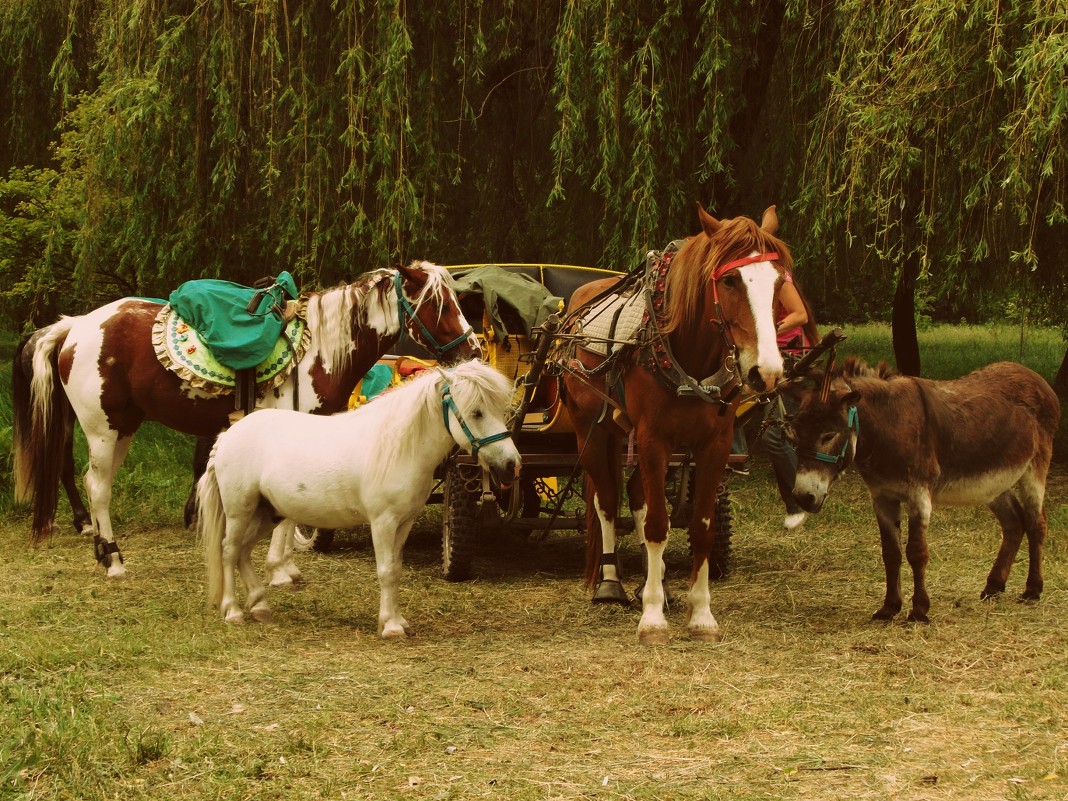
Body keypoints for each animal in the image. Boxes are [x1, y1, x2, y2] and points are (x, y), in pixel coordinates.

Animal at [16, 263, 480, 576]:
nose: (473, 350)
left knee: (99, 483)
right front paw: (286, 558)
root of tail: (74, 326)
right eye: (438, 303)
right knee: (96, 486)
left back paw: (101, 548)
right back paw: (112, 558)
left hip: (124, 426)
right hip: (102, 427)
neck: (318, 352)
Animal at [200, 358, 521, 640]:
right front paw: (391, 627)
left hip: (267, 513)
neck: (398, 447)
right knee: (229, 550)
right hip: (240, 511)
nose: (511, 464)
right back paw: (233, 611)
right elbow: (386, 571)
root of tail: (229, 435)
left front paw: (397, 621)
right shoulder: (383, 522)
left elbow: (396, 569)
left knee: (243, 552)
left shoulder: (404, 522)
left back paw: (259, 606)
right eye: (476, 412)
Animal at [559, 207, 794, 645]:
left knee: (635, 494)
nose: (766, 372)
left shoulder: (715, 444)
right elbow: (656, 524)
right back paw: (612, 582)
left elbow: (699, 527)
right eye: (731, 280)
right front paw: (652, 619)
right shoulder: (654, 439)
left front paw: (700, 614)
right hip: (591, 430)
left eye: (778, 282)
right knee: (606, 500)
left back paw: (658, 581)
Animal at [786, 358, 1059, 627]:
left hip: (1035, 467)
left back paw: (1032, 590)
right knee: (1014, 522)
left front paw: (919, 611)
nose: (802, 497)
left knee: (1036, 523)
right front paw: (888, 608)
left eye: (829, 435)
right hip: (993, 483)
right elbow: (891, 553)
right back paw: (993, 586)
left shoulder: (918, 495)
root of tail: (1031, 374)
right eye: (795, 435)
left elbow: (916, 552)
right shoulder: (882, 497)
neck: (889, 424)